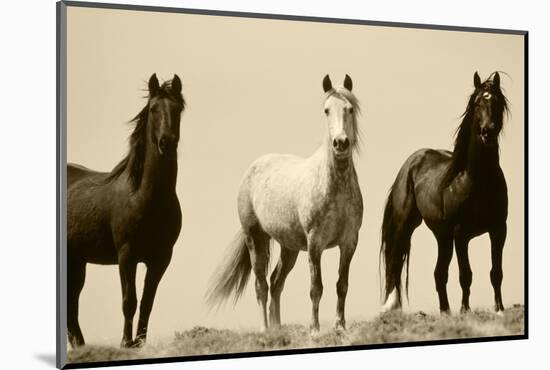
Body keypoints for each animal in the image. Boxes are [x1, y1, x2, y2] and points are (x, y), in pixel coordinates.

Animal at [66, 74, 185, 346]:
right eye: (153, 109)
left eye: (178, 109)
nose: (166, 142)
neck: (145, 197)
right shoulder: (126, 255)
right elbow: (129, 301)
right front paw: (125, 344)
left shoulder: (161, 259)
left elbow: (147, 303)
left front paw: (139, 343)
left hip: (77, 261)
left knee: (72, 304)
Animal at [209, 74, 364, 332]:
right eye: (326, 110)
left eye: (350, 109)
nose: (340, 143)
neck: (334, 186)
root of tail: (252, 169)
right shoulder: (315, 244)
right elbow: (316, 288)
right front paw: (315, 329)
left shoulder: (349, 242)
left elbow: (342, 284)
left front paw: (340, 326)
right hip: (256, 239)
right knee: (261, 285)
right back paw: (265, 329)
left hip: (289, 248)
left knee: (276, 282)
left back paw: (277, 328)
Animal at [382, 72, 512, 316]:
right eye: (478, 102)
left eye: (498, 102)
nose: (488, 131)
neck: (477, 180)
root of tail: (410, 163)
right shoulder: (461, 234)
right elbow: (466, 275)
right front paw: (465, 310)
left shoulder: (498, 229)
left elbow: (496, 272)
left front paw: (499, 308)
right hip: (407, 226)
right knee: (395, 263)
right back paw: (392, 307)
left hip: (442, 236)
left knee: (439, 273)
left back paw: (445, 311)